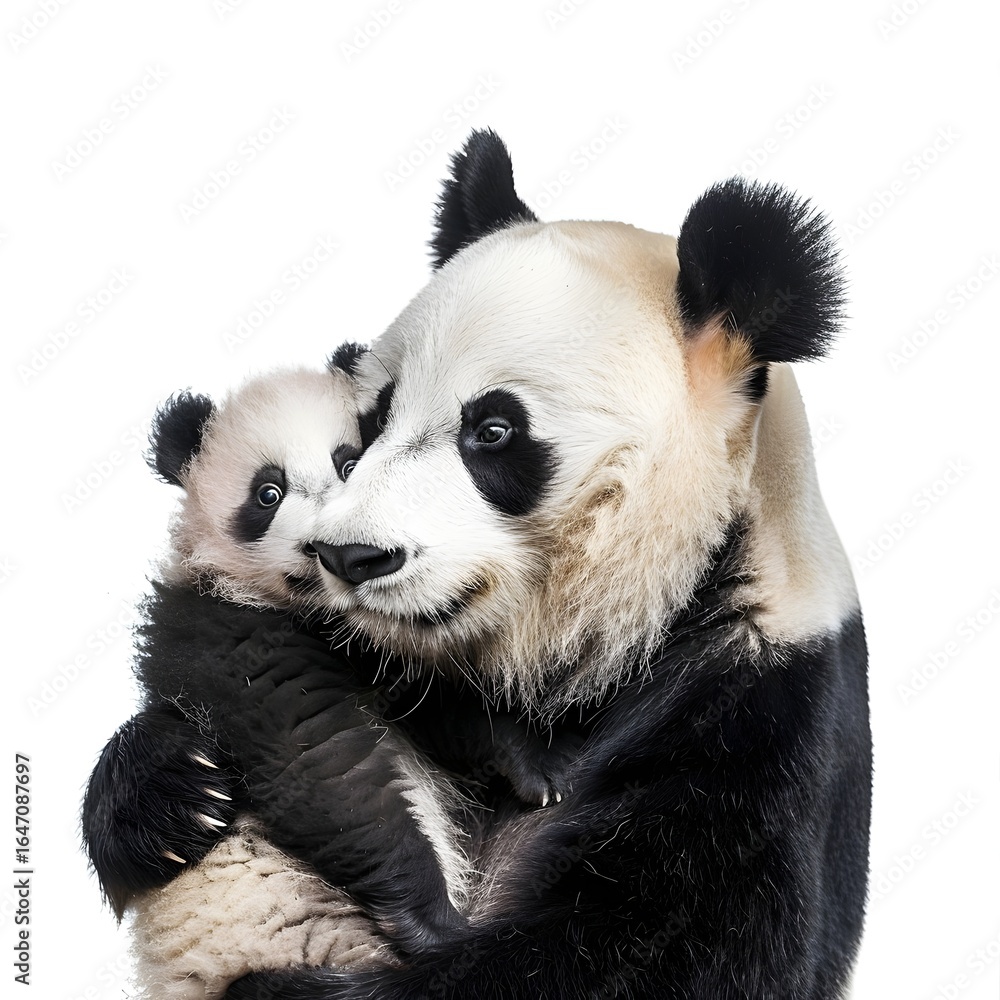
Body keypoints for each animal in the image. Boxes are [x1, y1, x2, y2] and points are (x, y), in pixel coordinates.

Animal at [82, 365, 579, 998]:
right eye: (268, 494)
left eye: (351, 465)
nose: (331, 548)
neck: (320, 616)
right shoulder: (228, 638)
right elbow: (325, 763)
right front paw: (432, 922)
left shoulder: (383, 644)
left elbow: (439, 705)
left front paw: (532, 766)